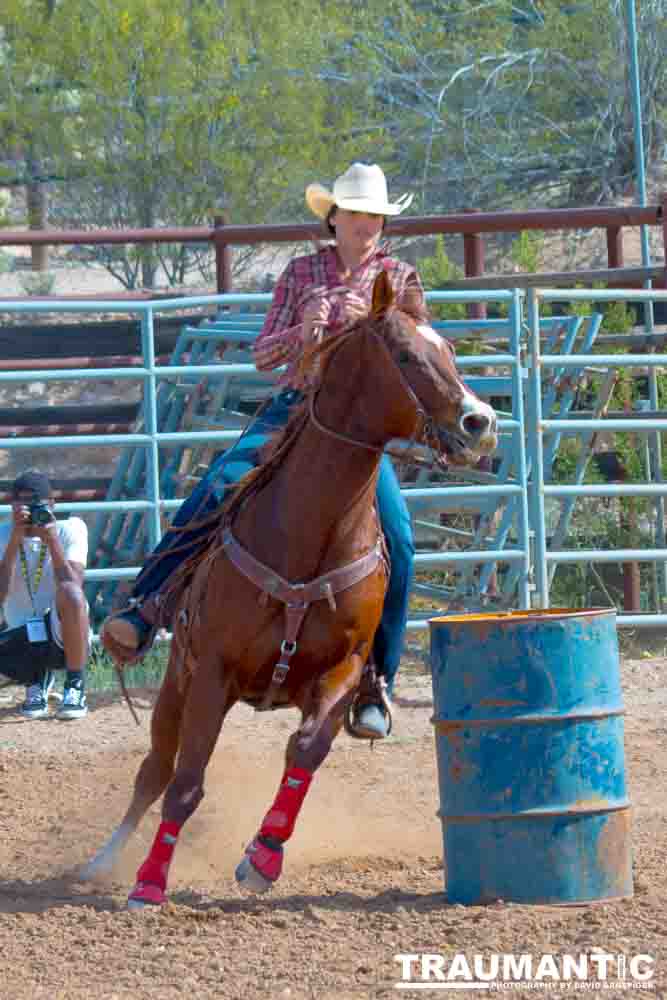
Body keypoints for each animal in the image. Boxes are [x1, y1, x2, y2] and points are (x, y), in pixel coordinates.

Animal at [81, 272, 498, 908]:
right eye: (405, 355)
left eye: (450, 351)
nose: (481, 422)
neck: (308, 533)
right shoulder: (211, 673)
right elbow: (186, 783)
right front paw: (149, 883)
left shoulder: (344, 670)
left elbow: (305, 750)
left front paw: (264, 855)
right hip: (176, 678)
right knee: (154, 770)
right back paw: (105, 861)